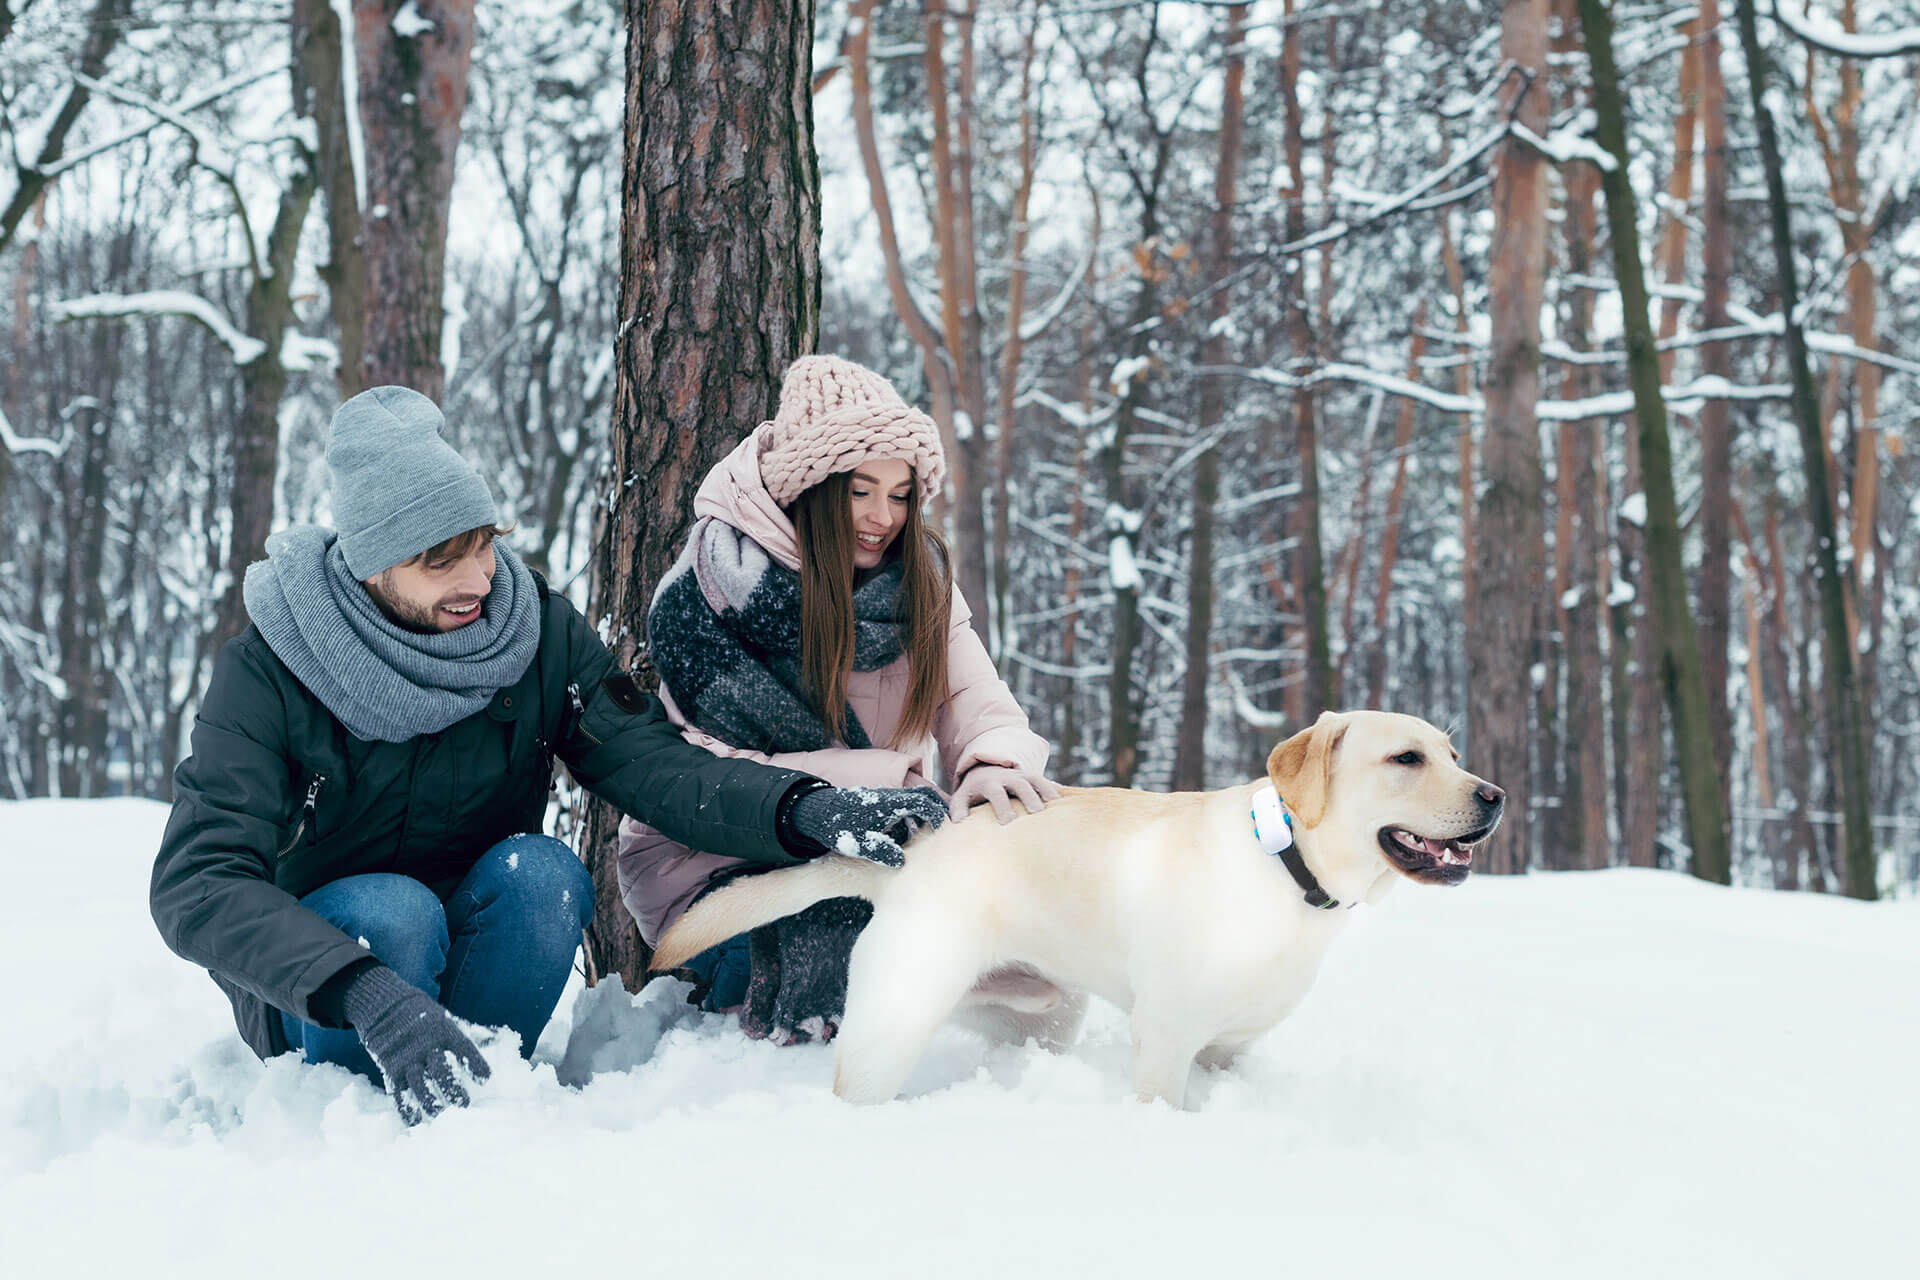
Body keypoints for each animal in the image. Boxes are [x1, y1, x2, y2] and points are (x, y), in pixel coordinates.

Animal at [652, 710, 1505, 1113]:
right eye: (1406, 759)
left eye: (1453, 754)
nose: (1496, 796)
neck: (1287, 872)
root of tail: (916, 856)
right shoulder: (1165, 1042)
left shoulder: (1228, 1050)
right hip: (892, 1024)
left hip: (1044, 1017)